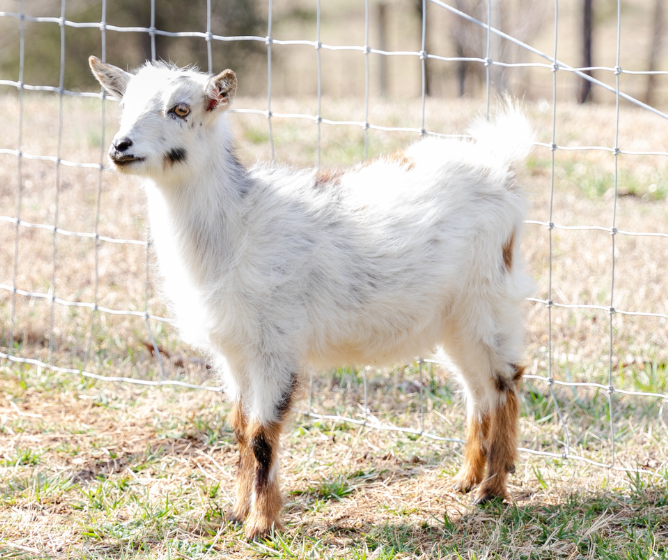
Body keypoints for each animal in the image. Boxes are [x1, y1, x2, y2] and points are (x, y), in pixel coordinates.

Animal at [89, 56, 534, 540]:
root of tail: (502, 166)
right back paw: (467, 478)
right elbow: (240, 429)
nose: (120, 147)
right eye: (123, 105)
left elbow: (262, 434)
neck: (237, 227)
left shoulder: (275, 344)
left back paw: (492, 490)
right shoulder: (235, 352)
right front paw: (237, 512)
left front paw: (261, 525)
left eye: (182, 109)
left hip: (486, 298)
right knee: (477, 388)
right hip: (451, 318)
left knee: (505, 380)